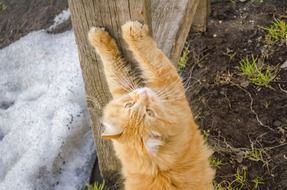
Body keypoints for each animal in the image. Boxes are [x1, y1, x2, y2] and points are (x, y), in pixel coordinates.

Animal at [89, 21, 215, 190]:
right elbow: (147, 57)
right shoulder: (168, 83)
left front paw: (102, 37)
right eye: (130, 105)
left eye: (148, 112)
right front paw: (127, 32)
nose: (144, 93)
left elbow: (117, 67)